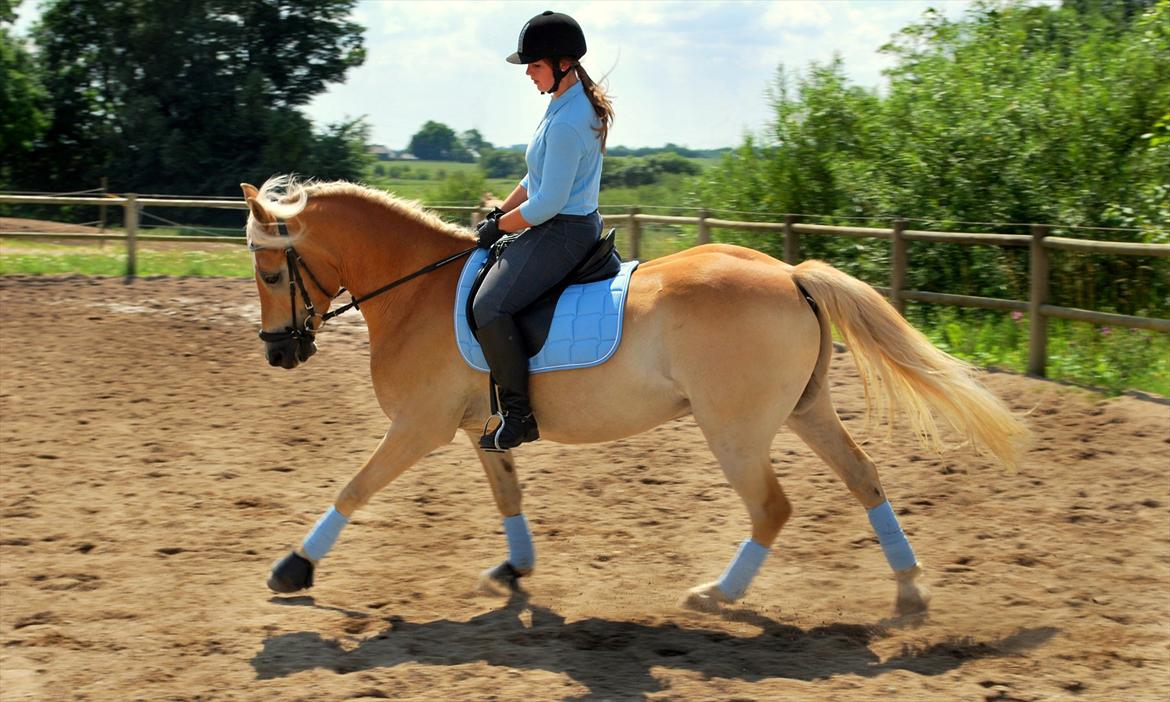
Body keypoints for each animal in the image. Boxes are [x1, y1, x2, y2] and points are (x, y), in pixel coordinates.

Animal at [242, 175, 1029, 613]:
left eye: (273, 271)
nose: (280, 352)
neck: (417, 294)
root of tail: (790, 274)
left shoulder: (419, 426)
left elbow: (354, 487)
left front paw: (293, 567)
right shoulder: (477, 427)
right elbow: (507, 493)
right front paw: (514, 569)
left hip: (734, 429)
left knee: (772, 507)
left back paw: (718, 596)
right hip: (806, 411)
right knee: (864, 478)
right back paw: (909, 590)